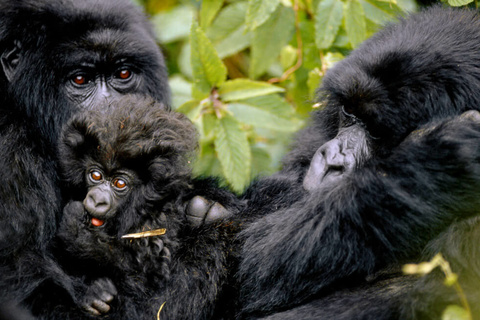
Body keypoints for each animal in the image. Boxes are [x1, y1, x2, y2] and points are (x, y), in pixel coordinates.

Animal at [38, 97, 240, 320]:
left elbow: (147, 282)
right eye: (96, 175)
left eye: (119, 183)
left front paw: (77, 232)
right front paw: (90, 291)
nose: (96, 200)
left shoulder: (158, 224)